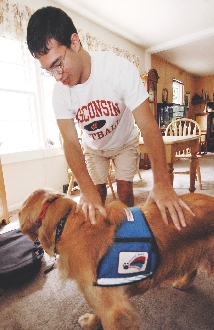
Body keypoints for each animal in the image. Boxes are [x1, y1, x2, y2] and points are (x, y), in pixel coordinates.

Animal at [18, 188, 214, 330]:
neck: (65, 223)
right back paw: (183, 282)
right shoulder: (98, 292)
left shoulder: (114, 310)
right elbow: (97, 309)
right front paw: (91, 322)